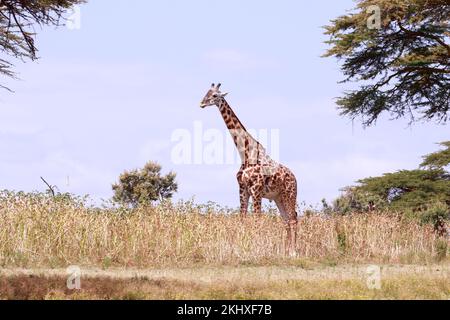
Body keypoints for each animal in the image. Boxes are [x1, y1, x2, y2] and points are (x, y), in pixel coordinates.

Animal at [200, 84, 298, 254]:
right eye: (207, 93)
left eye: (215, 95)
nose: (202, 103)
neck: (245, 153)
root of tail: (295, 178)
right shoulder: (243, 189)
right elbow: (242, 219)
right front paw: (241, 249)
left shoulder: (256, 190)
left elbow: (257, 220)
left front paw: (258, 249)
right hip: (278, 197)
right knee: (286, 220)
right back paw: (286, 251)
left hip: (289, 194)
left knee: (293, 219)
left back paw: (293, 252)